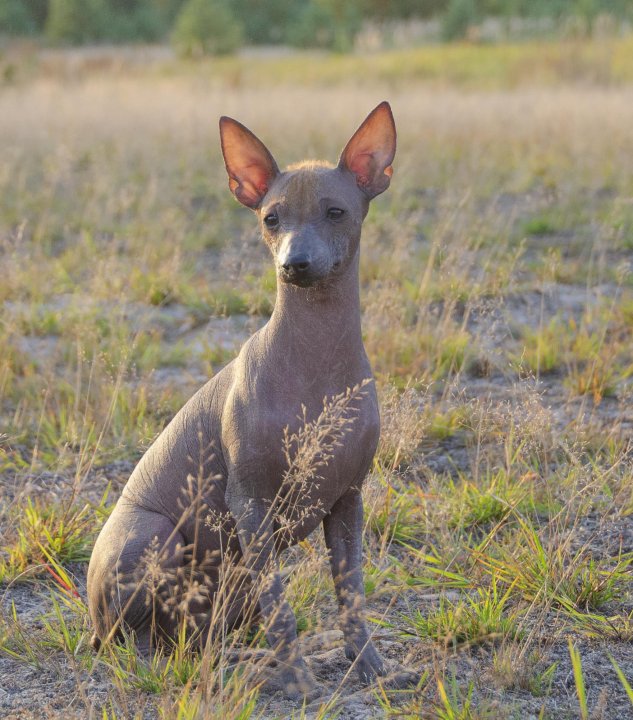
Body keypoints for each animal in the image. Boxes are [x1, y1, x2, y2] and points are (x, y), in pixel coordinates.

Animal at [87, 101, 414, 696]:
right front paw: (301, 682)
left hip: (223, 592)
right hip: (154, 539)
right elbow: (281, 606)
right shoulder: (253, 508)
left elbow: (351, 596)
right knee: (146, 651)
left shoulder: (347, 501)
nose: (295, 264)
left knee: (200, 641)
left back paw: (251, 663)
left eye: (336, 212)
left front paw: (369, 666)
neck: (314, 355)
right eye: (271, 218)